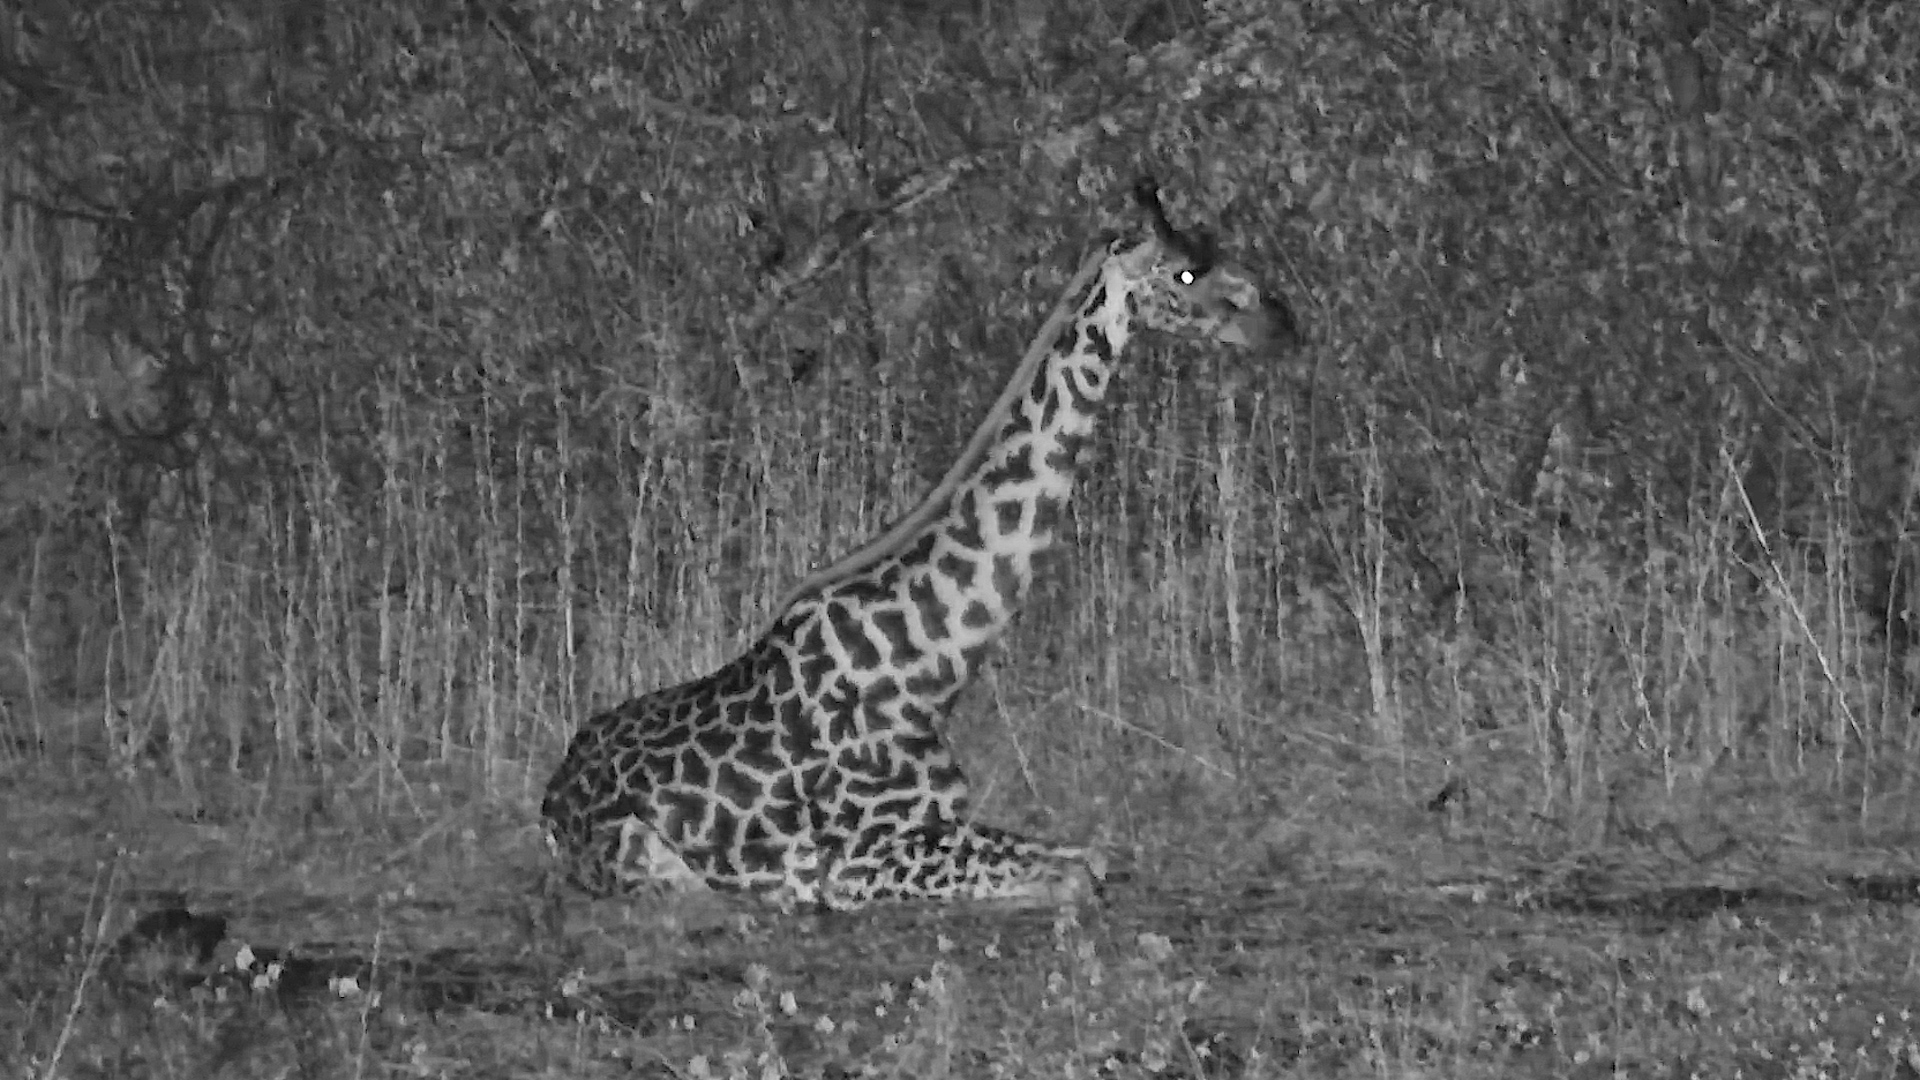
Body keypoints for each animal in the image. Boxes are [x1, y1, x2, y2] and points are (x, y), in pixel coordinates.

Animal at [541, 180, 1287, 909]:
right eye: (1186, 271)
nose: (1280, 322)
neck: (928, 667)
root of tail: (551, 797)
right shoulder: (851, 862)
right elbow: (1069, 877)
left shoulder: (944, 820)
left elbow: (1088, 856)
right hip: (655, 861)